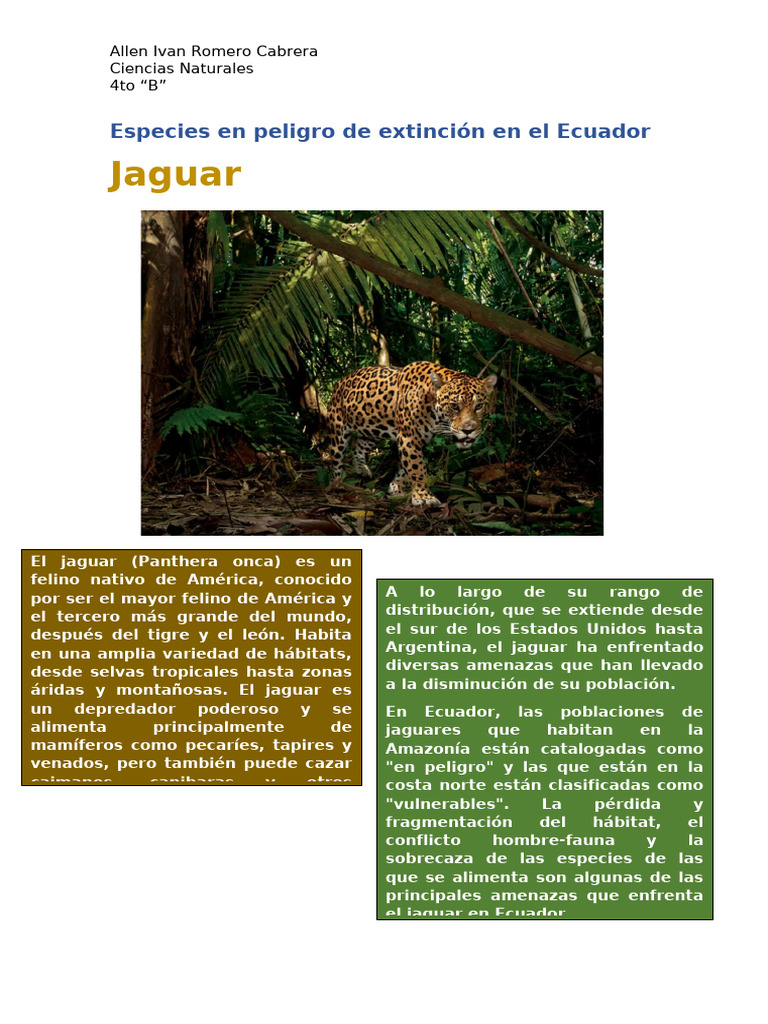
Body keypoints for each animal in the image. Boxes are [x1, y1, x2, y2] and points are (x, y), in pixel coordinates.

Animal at [322, 361, 497, 506]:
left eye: (479, 406)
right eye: (454, 406)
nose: (468, 430)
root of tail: (341, 380)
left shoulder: (418, 440)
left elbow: (405, 468)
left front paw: (396, 487)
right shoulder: (409, 437)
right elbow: (416, 467)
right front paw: (424, 496)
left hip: (371, 431)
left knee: (359, 447)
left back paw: (361, 468)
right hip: (338, 431)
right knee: (335, 459)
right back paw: (335, 484)